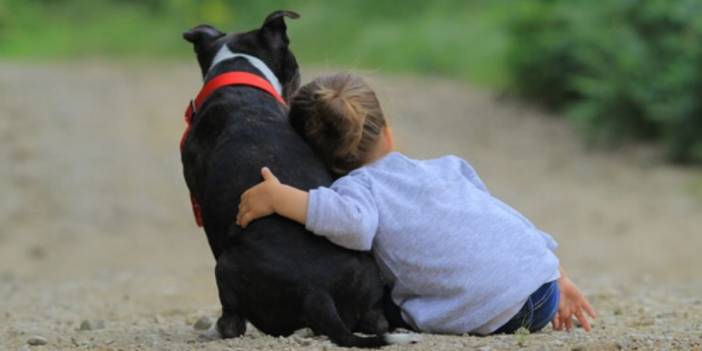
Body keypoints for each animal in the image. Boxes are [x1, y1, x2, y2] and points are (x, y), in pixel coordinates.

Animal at [180, 10, 418, 350]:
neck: (238, 72)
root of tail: (316, 291)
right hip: (366, 281)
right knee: (375, 320)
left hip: (224, 266)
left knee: (233, 322)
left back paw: (215, 330)